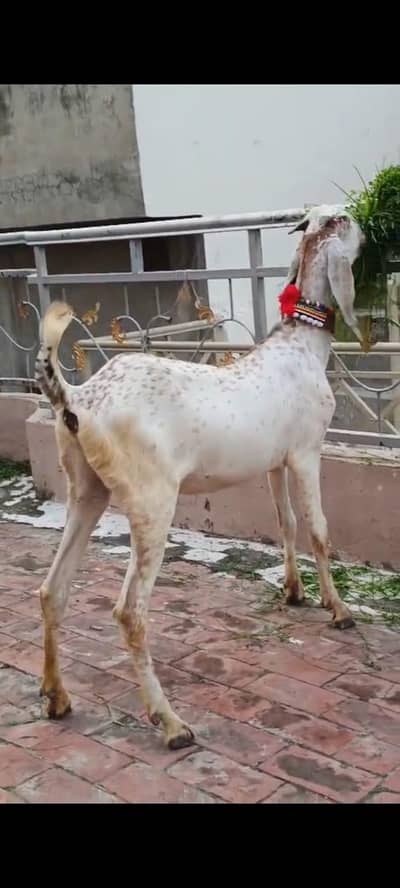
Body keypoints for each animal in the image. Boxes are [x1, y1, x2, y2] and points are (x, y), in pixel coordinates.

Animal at [34, 203, 364, 749]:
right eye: (347, 222)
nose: (365, 220)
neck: (301, 346)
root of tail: (79, 398)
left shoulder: (273, 460)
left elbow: (287, 524)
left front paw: (294, 592)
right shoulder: (305, 451)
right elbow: (319, 530)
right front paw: (339, 611)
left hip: (86, 488)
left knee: (52, 589)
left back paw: (57, 699)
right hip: (151, 498)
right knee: (130, 611)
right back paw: (170, 723)